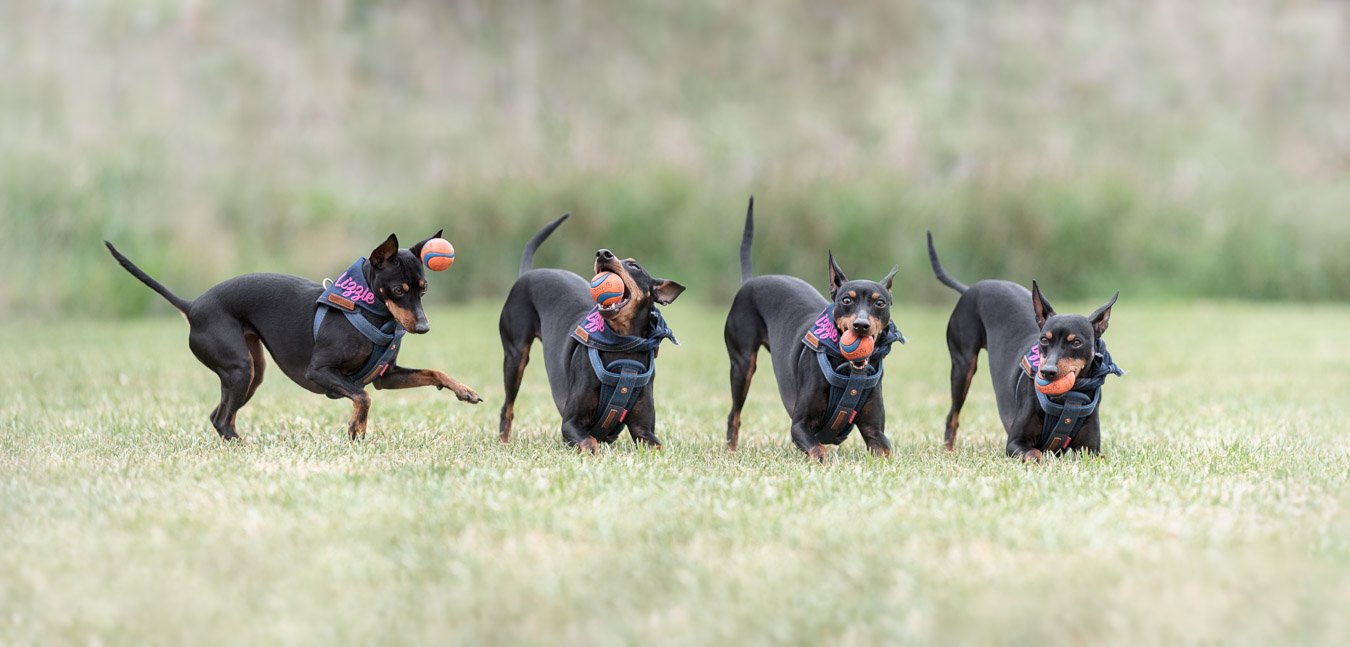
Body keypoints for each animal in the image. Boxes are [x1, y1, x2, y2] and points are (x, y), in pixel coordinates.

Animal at [106, 235, 486, 443]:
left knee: (220, 416)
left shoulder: (386, 377)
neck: (366, 310)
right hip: (239, 369)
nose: (422, 327)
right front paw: (356, 429)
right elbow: (362, 397)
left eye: (424, 289)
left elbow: (434, 372)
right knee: (221, 418)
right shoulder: (320, 372)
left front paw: (464, 390)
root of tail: (192, 305)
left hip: (251, 374)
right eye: (397, 290)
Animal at [499, 213, 685, 451]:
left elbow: (659, 447)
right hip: (515, 357)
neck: (623, 345)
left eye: (634, 266)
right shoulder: (570, 423)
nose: (603, 253)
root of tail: (529, 273)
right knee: (507, 408)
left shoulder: (643, 430)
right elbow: (590, 442)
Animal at [723, 199, 901, 464]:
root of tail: (750, 282)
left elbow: (886, 452)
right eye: (846, 300)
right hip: (742, 366)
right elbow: (819, 450)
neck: (850, 371)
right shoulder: (799, 425)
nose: (861, 325)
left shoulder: (875, 431)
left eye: (880, 303)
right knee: (734, 415)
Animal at [928, 232, 1117, 461]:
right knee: (952, 416)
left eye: (1076, 342)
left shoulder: (1091, 451)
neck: (1067, 399)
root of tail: (971, 288)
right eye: (1044, 340)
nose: (1047, 372)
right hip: (963, 367)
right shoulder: (1015, 443)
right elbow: (1036, 453)